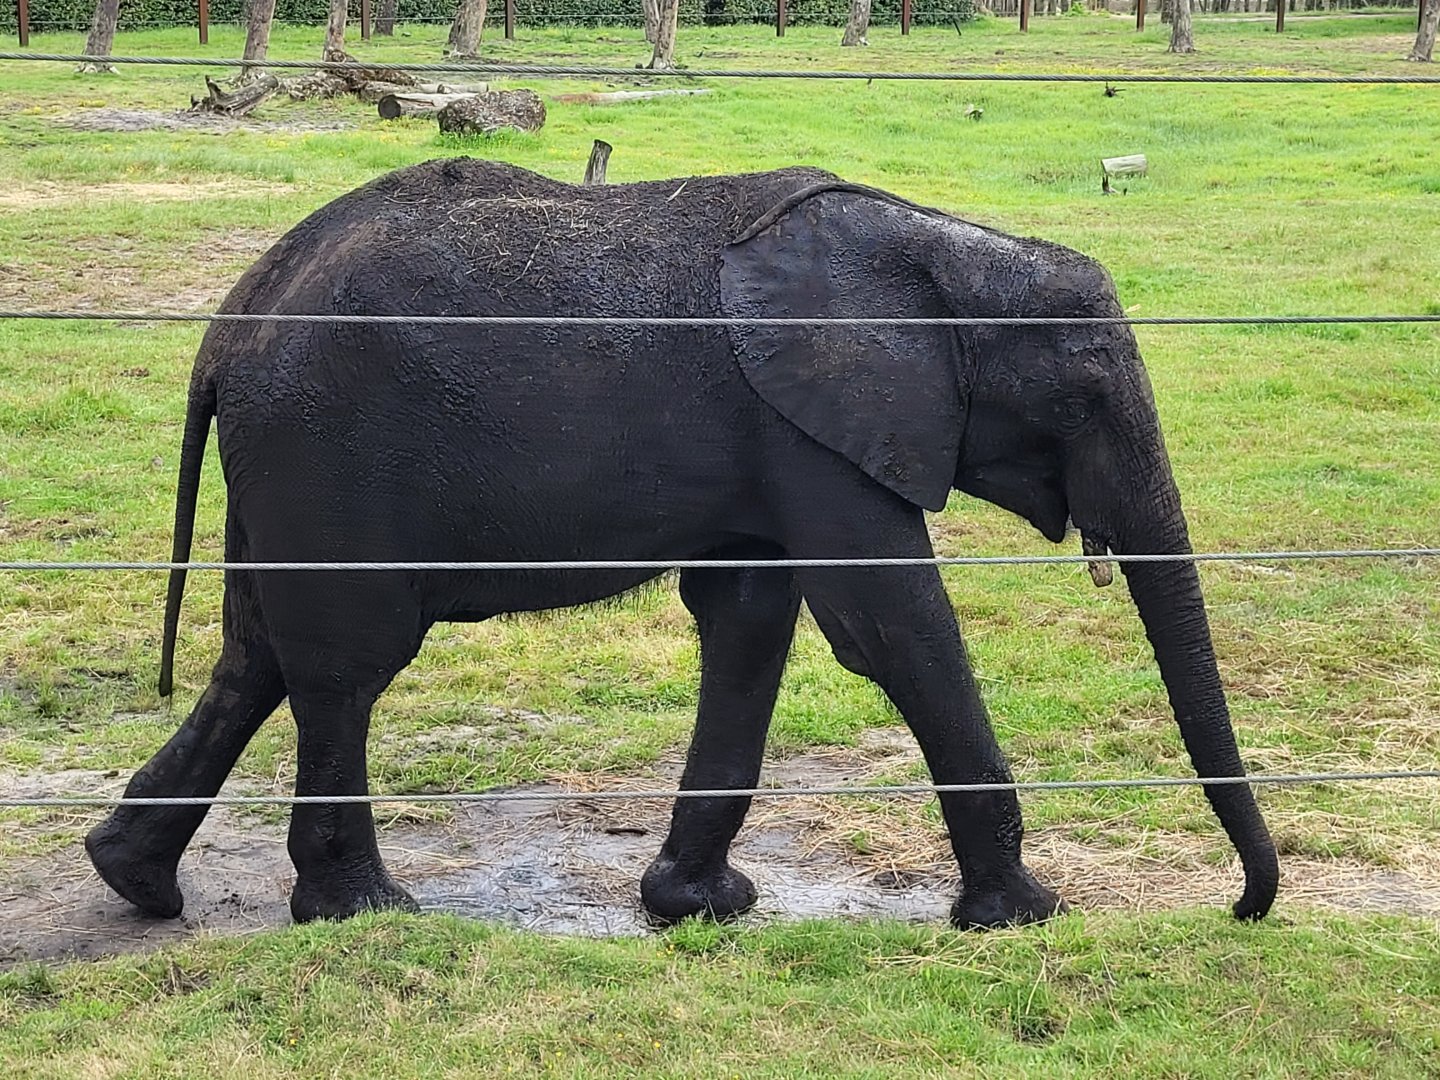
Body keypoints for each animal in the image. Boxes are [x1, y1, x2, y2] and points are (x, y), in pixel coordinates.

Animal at [84, 158, 1278, 929]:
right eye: (1083, 400)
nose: (1244, 908)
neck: (945, 250)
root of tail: (230, 323)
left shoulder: (783, 437)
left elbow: (751, 620)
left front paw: (696, 907)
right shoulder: (814, 427)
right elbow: (889, 625)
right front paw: (1026, 916)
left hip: (284, 469)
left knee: (258, 657)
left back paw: (133, 882)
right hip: (325, 453)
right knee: (343, 666)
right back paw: (364, 912)